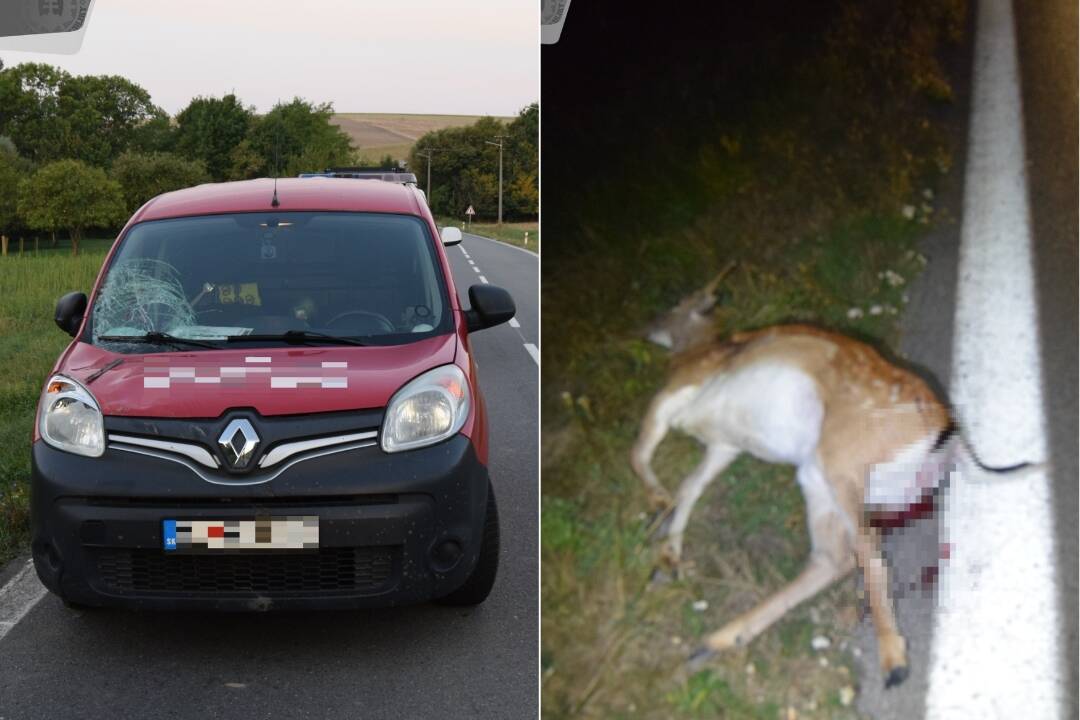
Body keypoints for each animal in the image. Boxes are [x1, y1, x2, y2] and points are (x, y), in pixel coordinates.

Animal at [635, 274, 1032, 686]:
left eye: (677, 303)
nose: (643, 327)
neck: (697, 348)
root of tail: (948, 434)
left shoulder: (679, 392)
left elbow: (640, 450)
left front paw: (657, 506)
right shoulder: (724, 445)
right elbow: (689, 487)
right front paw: (668, 553)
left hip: (840, 462)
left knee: (865, 550)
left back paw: (893, 661)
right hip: (820, 478)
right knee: (833, 557)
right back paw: (716, 642)